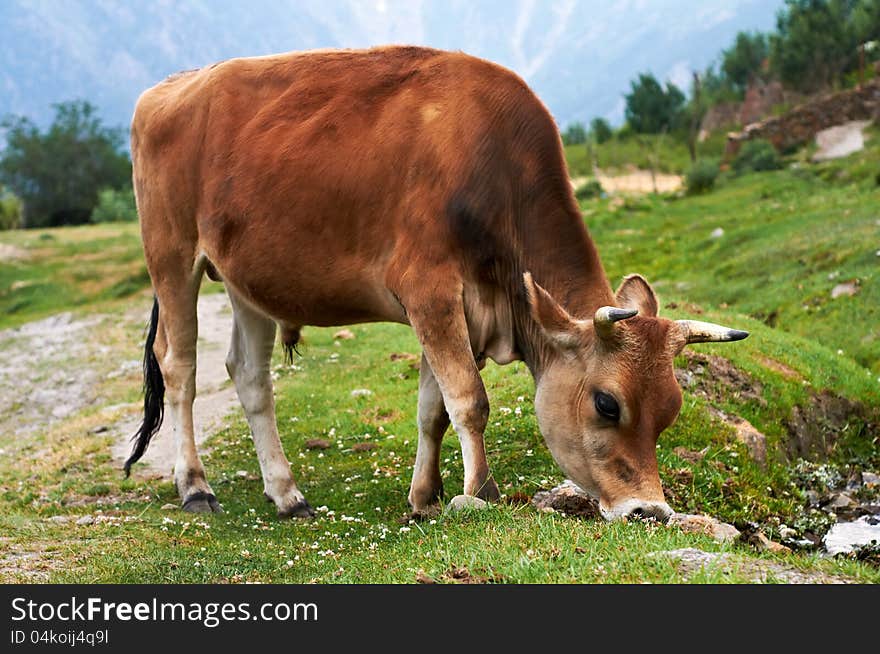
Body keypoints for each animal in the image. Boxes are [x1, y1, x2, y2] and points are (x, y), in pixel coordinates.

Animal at [127, 47, 744, 524]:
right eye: (607, 404)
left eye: (671, 408)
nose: (651, 510)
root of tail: (167, 88)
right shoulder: (429, 289)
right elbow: (469, 400)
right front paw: (481, 491)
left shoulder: (459, 310)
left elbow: (435, 408)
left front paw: (425, 497)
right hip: (171, 254)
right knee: (179, 367)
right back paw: (195, 487)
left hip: (246, 278)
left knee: (249, 375)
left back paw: (286, 494)